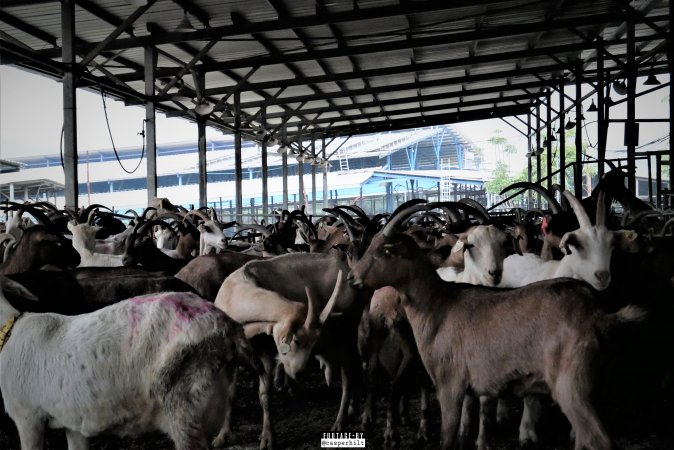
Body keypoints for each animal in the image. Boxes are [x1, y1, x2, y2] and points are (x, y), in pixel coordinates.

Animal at [350, 204, 644, 450]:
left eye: (384, 251)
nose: (353, 278)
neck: (438, 304)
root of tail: (599, 315)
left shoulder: (450, 382)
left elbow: (448, 437)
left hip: (572, 385)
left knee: (598, 438)